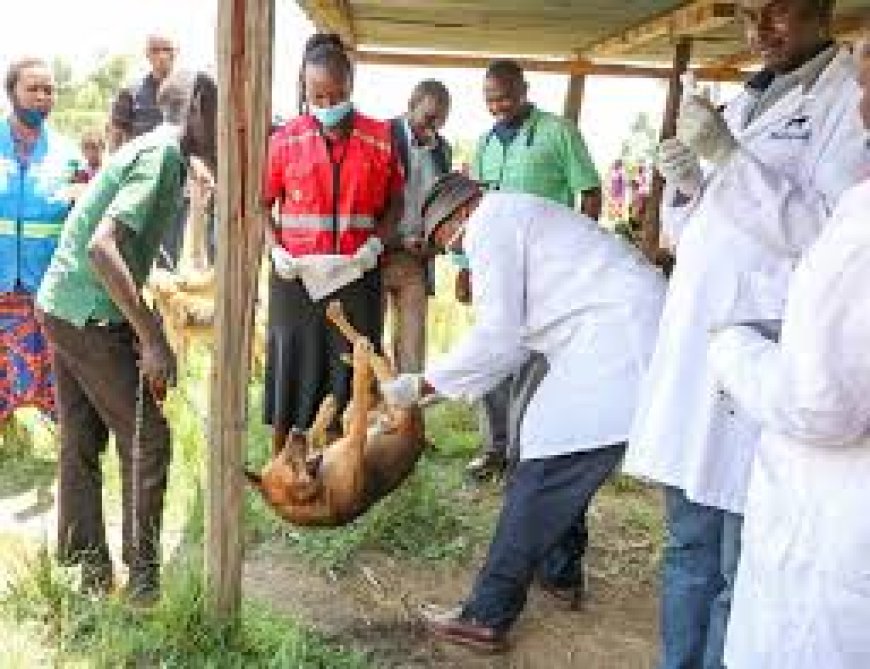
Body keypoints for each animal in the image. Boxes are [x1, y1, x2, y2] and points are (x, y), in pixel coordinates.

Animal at [245, 300, 426, 524]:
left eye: (282, 457)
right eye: (289, 462)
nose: (296, 431)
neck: (321, 488)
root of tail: (420, 434)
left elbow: (317, 433)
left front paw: (325, 407)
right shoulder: (354, 439)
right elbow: (358, 392)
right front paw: (358, 361)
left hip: (362, 407)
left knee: (375, 364)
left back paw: (350, 352)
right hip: (386, 395)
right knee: (374, 365)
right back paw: (353, 342)